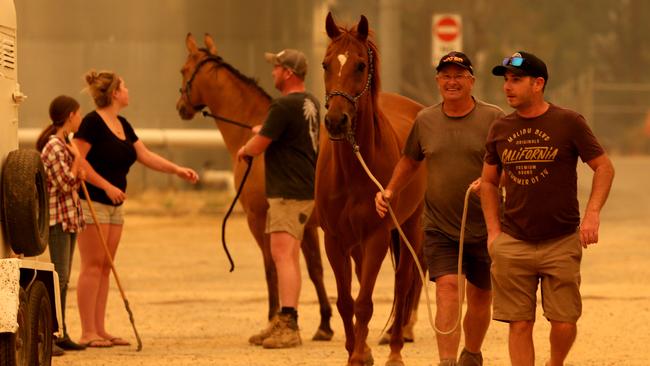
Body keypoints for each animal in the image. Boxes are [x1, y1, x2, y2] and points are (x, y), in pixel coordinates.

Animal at [175, 33, 332, 342]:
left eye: (184, 70)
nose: (180, 107)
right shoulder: (305, 224)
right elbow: (314, 269)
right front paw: (324, 324)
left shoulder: (259, 218)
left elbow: (272, 267)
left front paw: (273, 320)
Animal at [318, 12, 428, 364]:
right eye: (325, 64)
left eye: (360, 65)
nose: (336, 121)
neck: (352, 172)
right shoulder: (334, 240)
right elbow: (346, 301)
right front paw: (357, 350)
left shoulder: (377, 236)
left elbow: (365, 302)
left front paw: (358, 355)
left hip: (410, 227)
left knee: (403, 283)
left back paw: (395, 350)